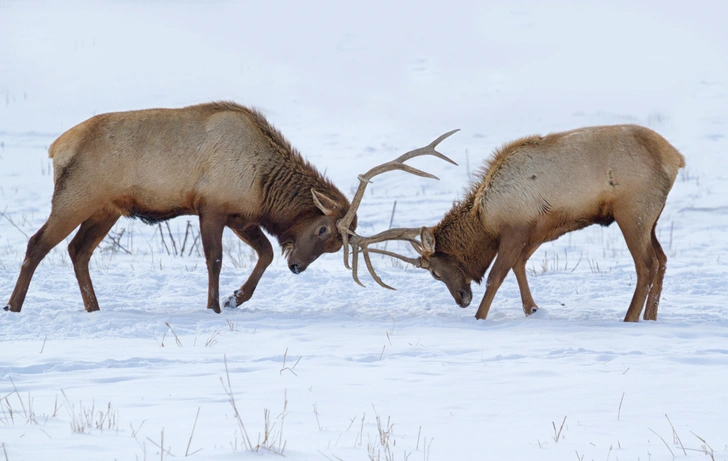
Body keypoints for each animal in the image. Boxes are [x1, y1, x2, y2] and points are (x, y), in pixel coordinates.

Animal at [344, 124, 684, 322]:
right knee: (663, 260)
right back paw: (650, 317)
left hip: (632, 212)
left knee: (647, 265)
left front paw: (480, 317)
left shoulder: (515, 229)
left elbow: (496, 276)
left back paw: (630, 319)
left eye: (435, 273)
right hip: (652, 217)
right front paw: (531, 308)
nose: (462, 300)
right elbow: (519, 265)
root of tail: (676, 158)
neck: (485, 220)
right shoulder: (536, 229)